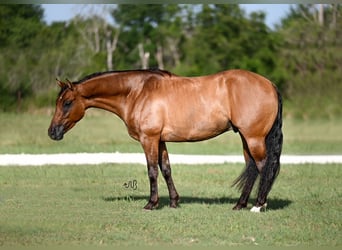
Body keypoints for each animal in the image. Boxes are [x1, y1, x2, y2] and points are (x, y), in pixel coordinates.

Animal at [48, 69, 284, 213]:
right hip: (246, 137)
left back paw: (258, 205)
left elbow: (152, 170)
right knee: (252, 167)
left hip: (253, 137)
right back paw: (240, 205)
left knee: (263, 166)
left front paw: (151, 203)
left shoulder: (149, 139)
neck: (137, 92)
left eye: (67, 102)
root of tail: (270, 84)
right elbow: (166, 169)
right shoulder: (160, 141)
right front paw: (173, 202)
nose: (52, 132)